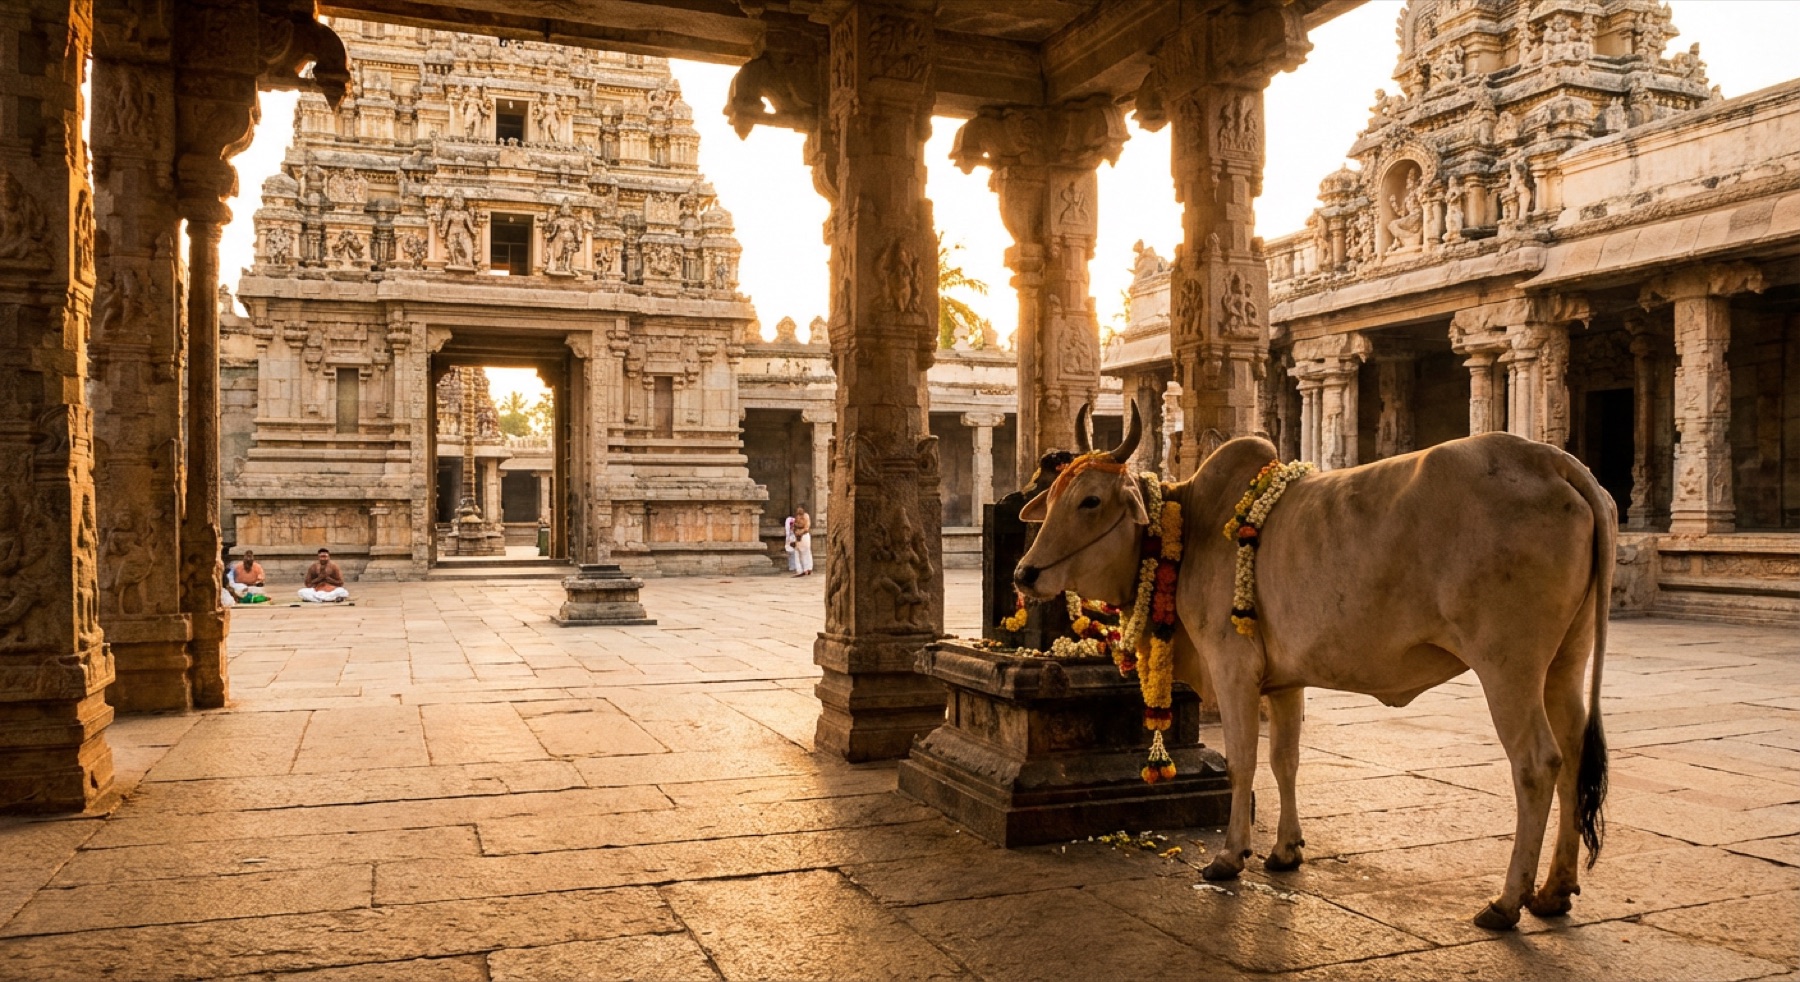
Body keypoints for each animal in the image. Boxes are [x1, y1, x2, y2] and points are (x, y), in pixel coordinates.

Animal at [1013, 403, 1612, 931]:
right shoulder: (1284, 680)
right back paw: (1555, 891)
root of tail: (1551, 460)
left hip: (1507, 665)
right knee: (1574, 752)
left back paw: (1507, 902)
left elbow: (1243, 763)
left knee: (1537, 762)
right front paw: (1285, 850)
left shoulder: (1232, 668)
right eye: (1054, 497)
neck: (1188, 531)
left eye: (1090, 500)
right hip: (1564, 661)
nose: (1024, 574)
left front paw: (1231, 855)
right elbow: (1286, 762)